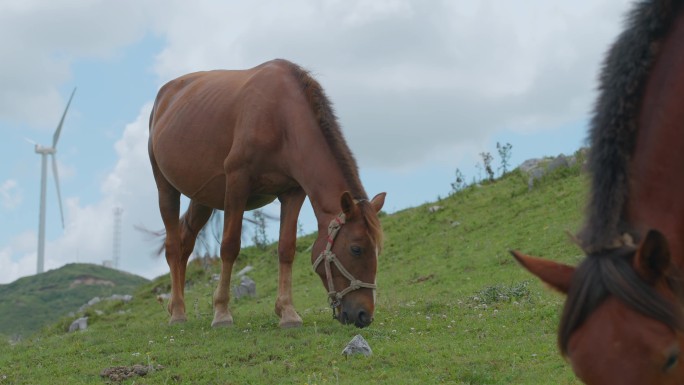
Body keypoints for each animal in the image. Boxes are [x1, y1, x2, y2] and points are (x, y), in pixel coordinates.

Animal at [148, 59, 384, 328]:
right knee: (173, 246)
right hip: (166, 188)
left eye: (378, 250)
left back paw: (177, 306)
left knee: (185, 242)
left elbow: (286, 249)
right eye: (356, 249)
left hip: (202, 198)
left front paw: (287, 312)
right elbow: (229, 247)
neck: (282, 118)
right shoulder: (237, 182)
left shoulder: (293, 192)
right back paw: (177, 311)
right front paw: (221, 312)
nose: (364, 315)